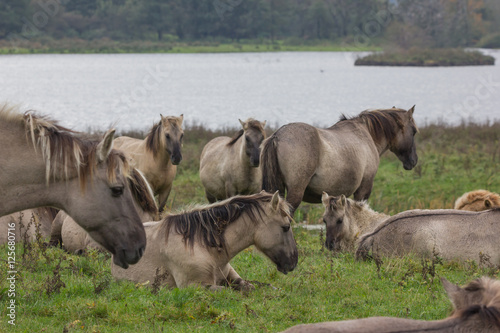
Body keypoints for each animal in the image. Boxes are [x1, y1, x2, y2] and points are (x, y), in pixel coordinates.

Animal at [260, 107, 420, 214]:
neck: (366, 135)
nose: (413, 161)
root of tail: (277, 136)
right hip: (295, 192)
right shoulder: (363, 190)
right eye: (414, 131)